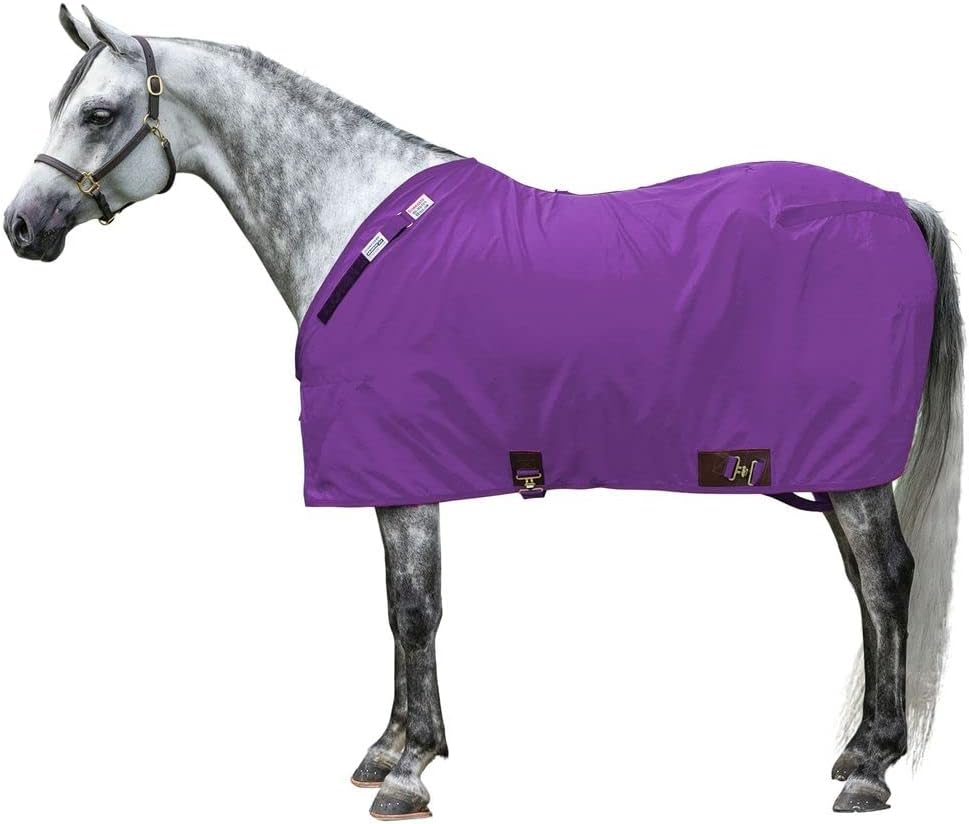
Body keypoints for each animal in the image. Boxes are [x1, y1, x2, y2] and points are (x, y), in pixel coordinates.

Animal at [4, 7, 962, 819]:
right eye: (60, 107)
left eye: (97, 113)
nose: (21, 226)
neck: (362, 236)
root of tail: (894, 203)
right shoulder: (393, 474)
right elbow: (397, 608)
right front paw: (389, 747)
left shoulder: (404, 471)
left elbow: (414, 609)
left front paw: (409, 768)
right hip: (830, 468)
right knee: (864, 586)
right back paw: (857, 751)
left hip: (847, 468)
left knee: (886, 579)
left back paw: (871, 768)